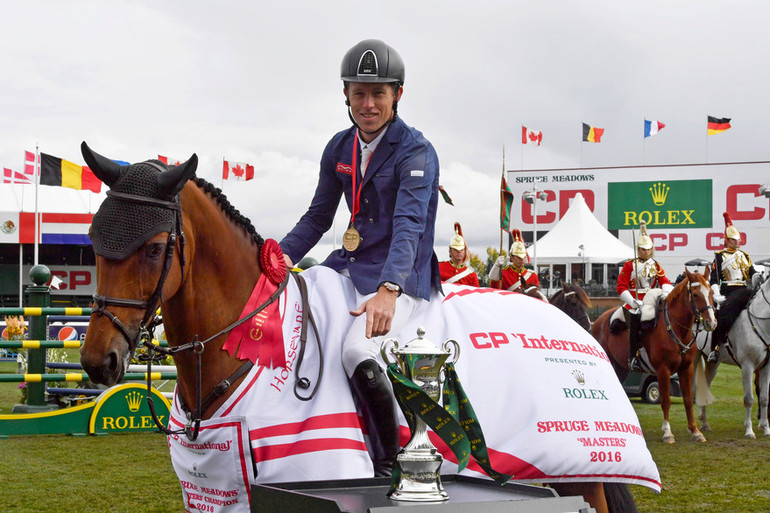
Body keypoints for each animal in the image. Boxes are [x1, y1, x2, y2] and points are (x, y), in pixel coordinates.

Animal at [592, 270, 716, 442]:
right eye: (696, 295)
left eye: (711, 293)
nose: (712, 323)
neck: (675, 328)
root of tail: (599, 320)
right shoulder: (663, 370)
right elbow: (665, 400)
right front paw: (667, 432)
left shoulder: (686, 368)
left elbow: (688, 399)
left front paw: (695, 431)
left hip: (620, 368)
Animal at [692, 274, 768, 438]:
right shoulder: (747, 366)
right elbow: (749, 399)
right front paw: (749, 431)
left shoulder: (766, 367)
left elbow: (764, 398)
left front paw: (766, 429)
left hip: (712, 364)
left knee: (705, 386)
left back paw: (704, 423)